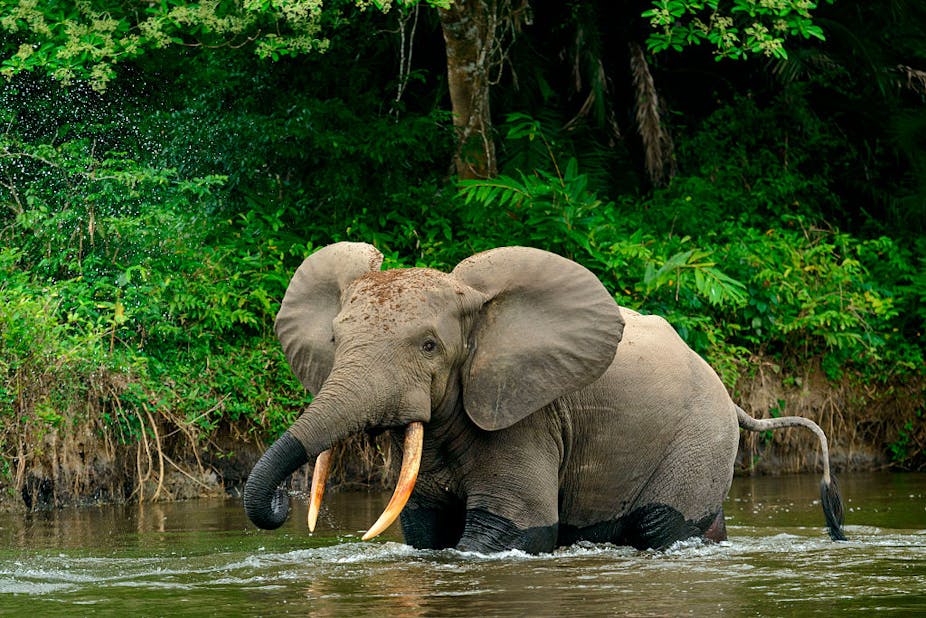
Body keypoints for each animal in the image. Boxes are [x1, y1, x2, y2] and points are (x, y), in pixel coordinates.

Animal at [244, 242, 846, 553]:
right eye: (334, 341)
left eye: (430, 346)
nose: (283, 507)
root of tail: (733, 396)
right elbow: (426, 531)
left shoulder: (527, 418)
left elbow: (509, 530)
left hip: (701, 438)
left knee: (663, 525)